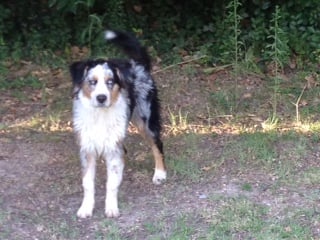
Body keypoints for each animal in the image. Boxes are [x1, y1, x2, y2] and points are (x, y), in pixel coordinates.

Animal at [69, 30, 166, 218]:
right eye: (92, 82)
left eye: (110, 81)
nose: (101, 98)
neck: (100, 115)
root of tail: (138, 64)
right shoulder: (87, 148)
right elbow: (87, 183)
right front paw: (86, 208)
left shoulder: (113, 148)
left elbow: (111, 183)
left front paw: (111, 208)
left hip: (145, 119)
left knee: (157, 144)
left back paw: (160, 173)